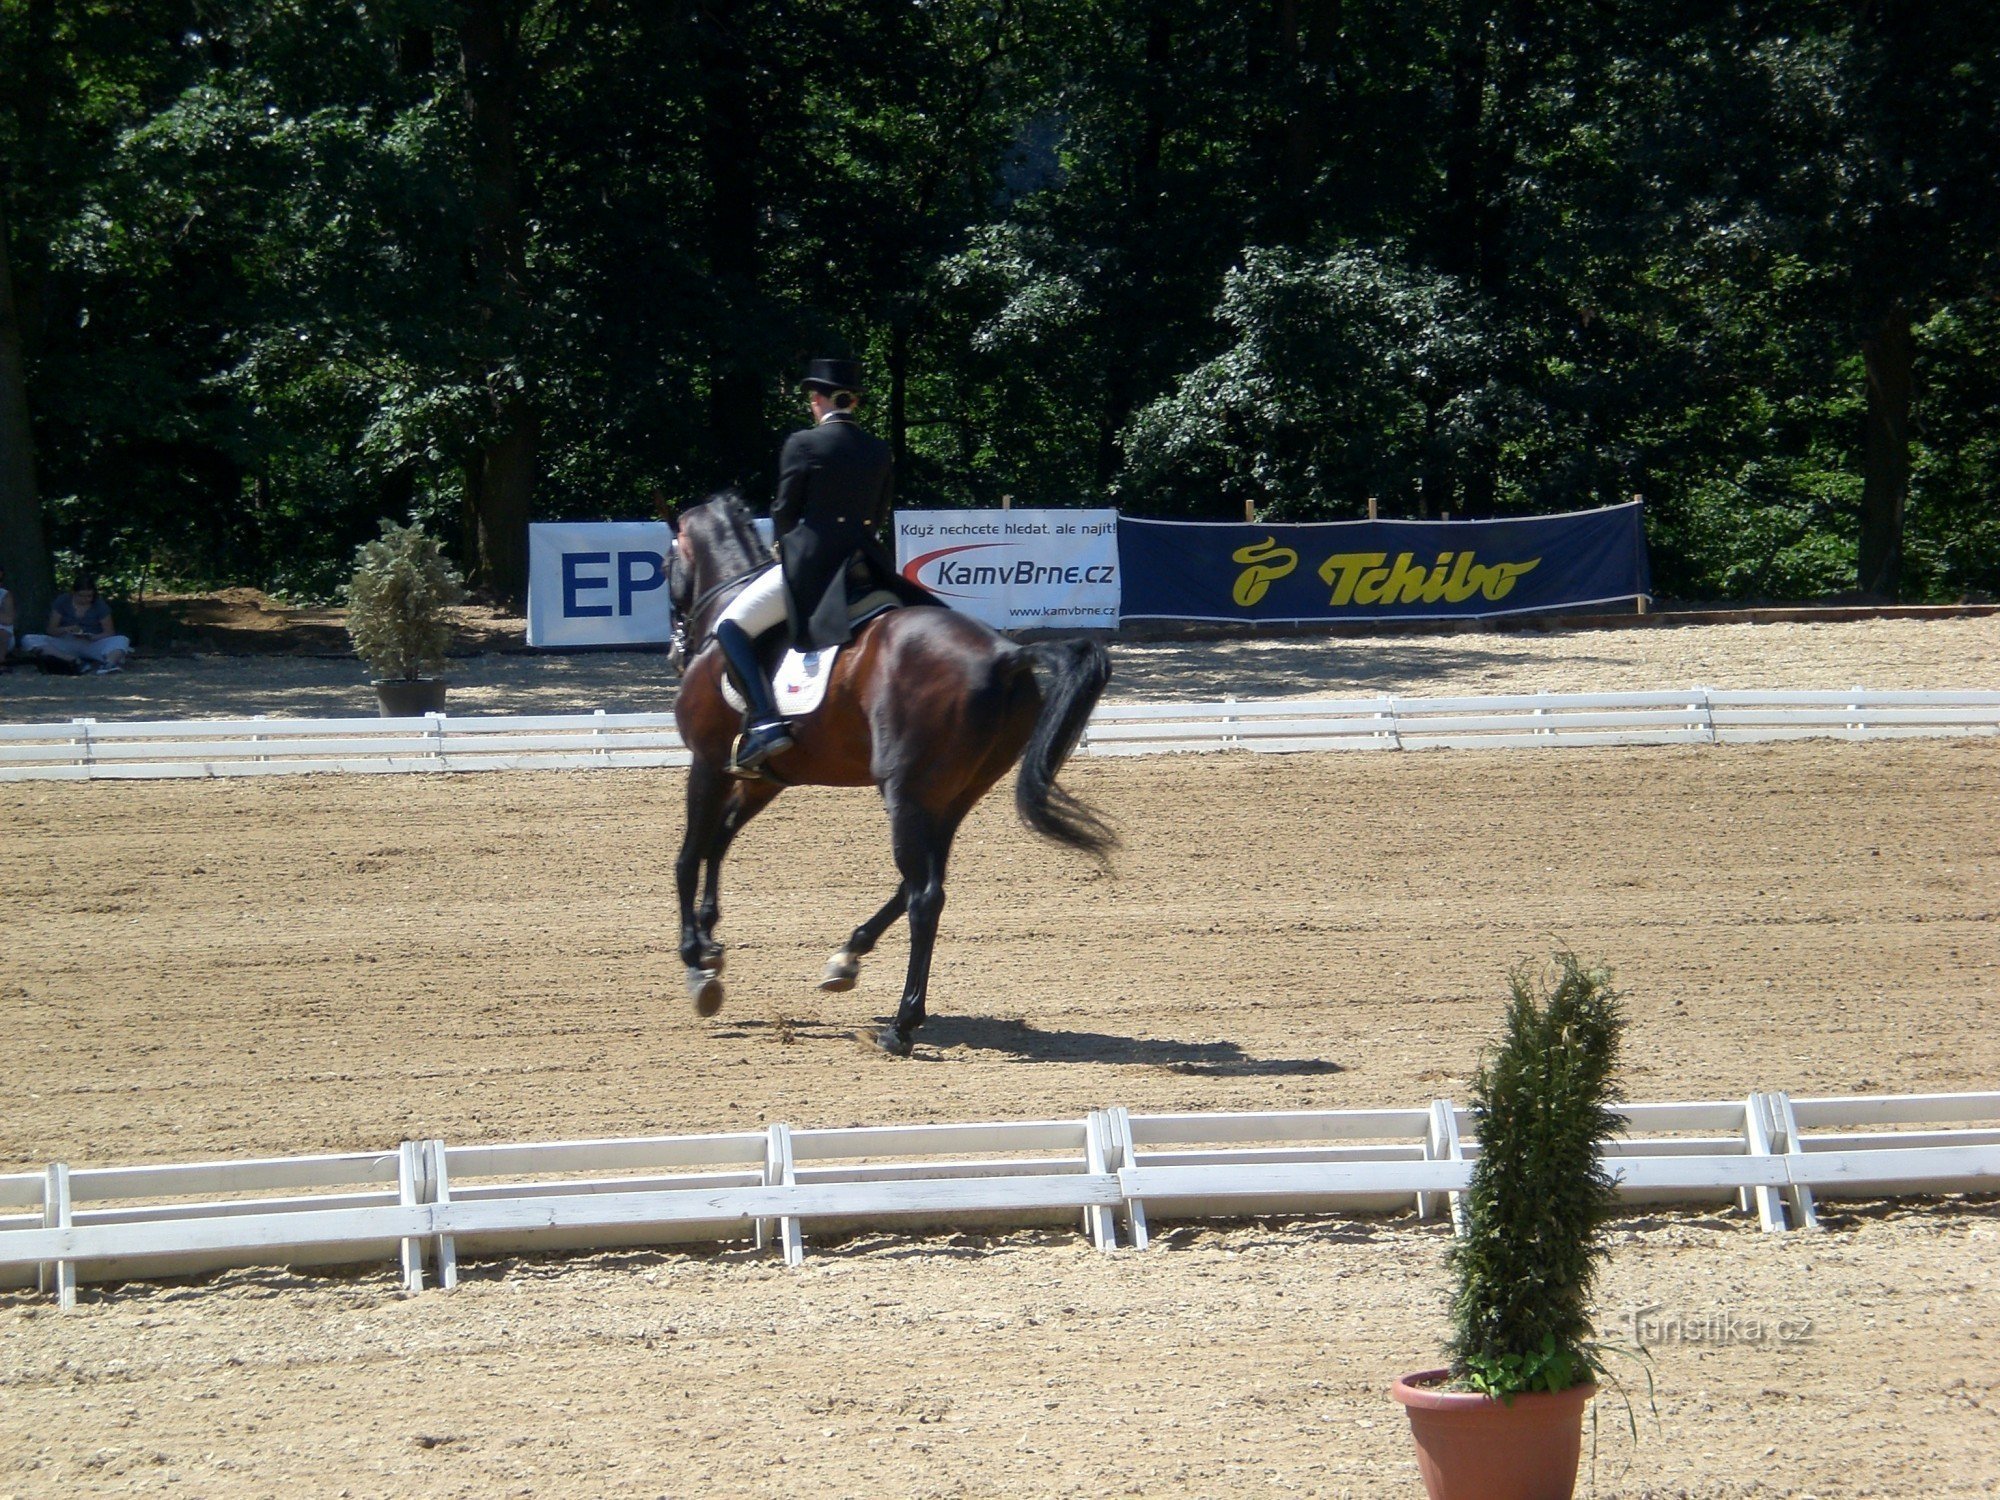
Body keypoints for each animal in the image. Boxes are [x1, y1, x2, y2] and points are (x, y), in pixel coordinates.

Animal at [664, 494, 1120, 1056]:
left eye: (665, 563)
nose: (675, 647)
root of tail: (1005, 654)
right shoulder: (763, 775)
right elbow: (718, 842)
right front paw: (710, 944)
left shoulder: (707, 761)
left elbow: (689, 855)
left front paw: (695, 961)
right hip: (951, 797)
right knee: (918, 883)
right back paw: (846, 958)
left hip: (905, 792)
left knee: (925, 896)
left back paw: (900, 1026)